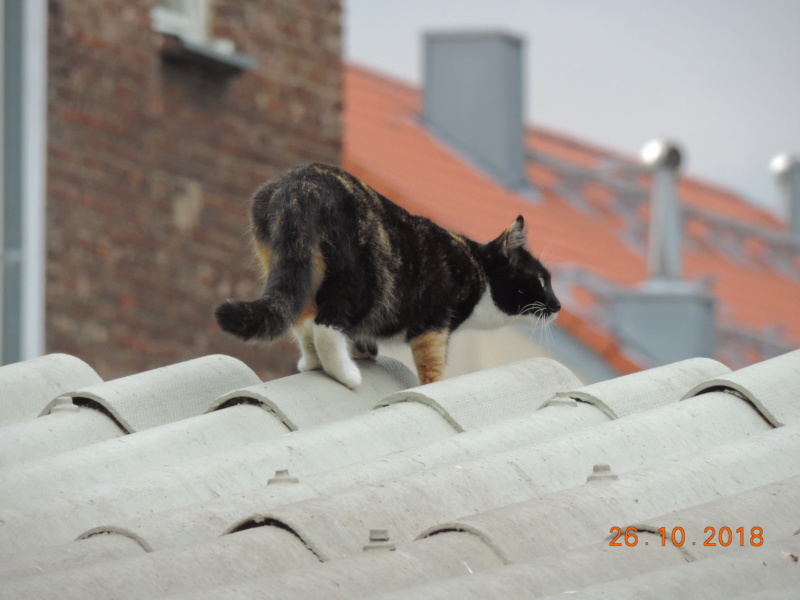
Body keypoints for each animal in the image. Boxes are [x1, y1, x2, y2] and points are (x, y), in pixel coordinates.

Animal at [216, 163, 560, 390]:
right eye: (542, 281)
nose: (557, 305)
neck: (477, 268)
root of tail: (300, 185)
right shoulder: (433, 323)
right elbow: (432, 368)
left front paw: (361, 349)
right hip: (359, 280)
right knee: (326, 325)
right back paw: (346, 374)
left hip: (293, 263)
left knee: (302, 317)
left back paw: (314, 363)